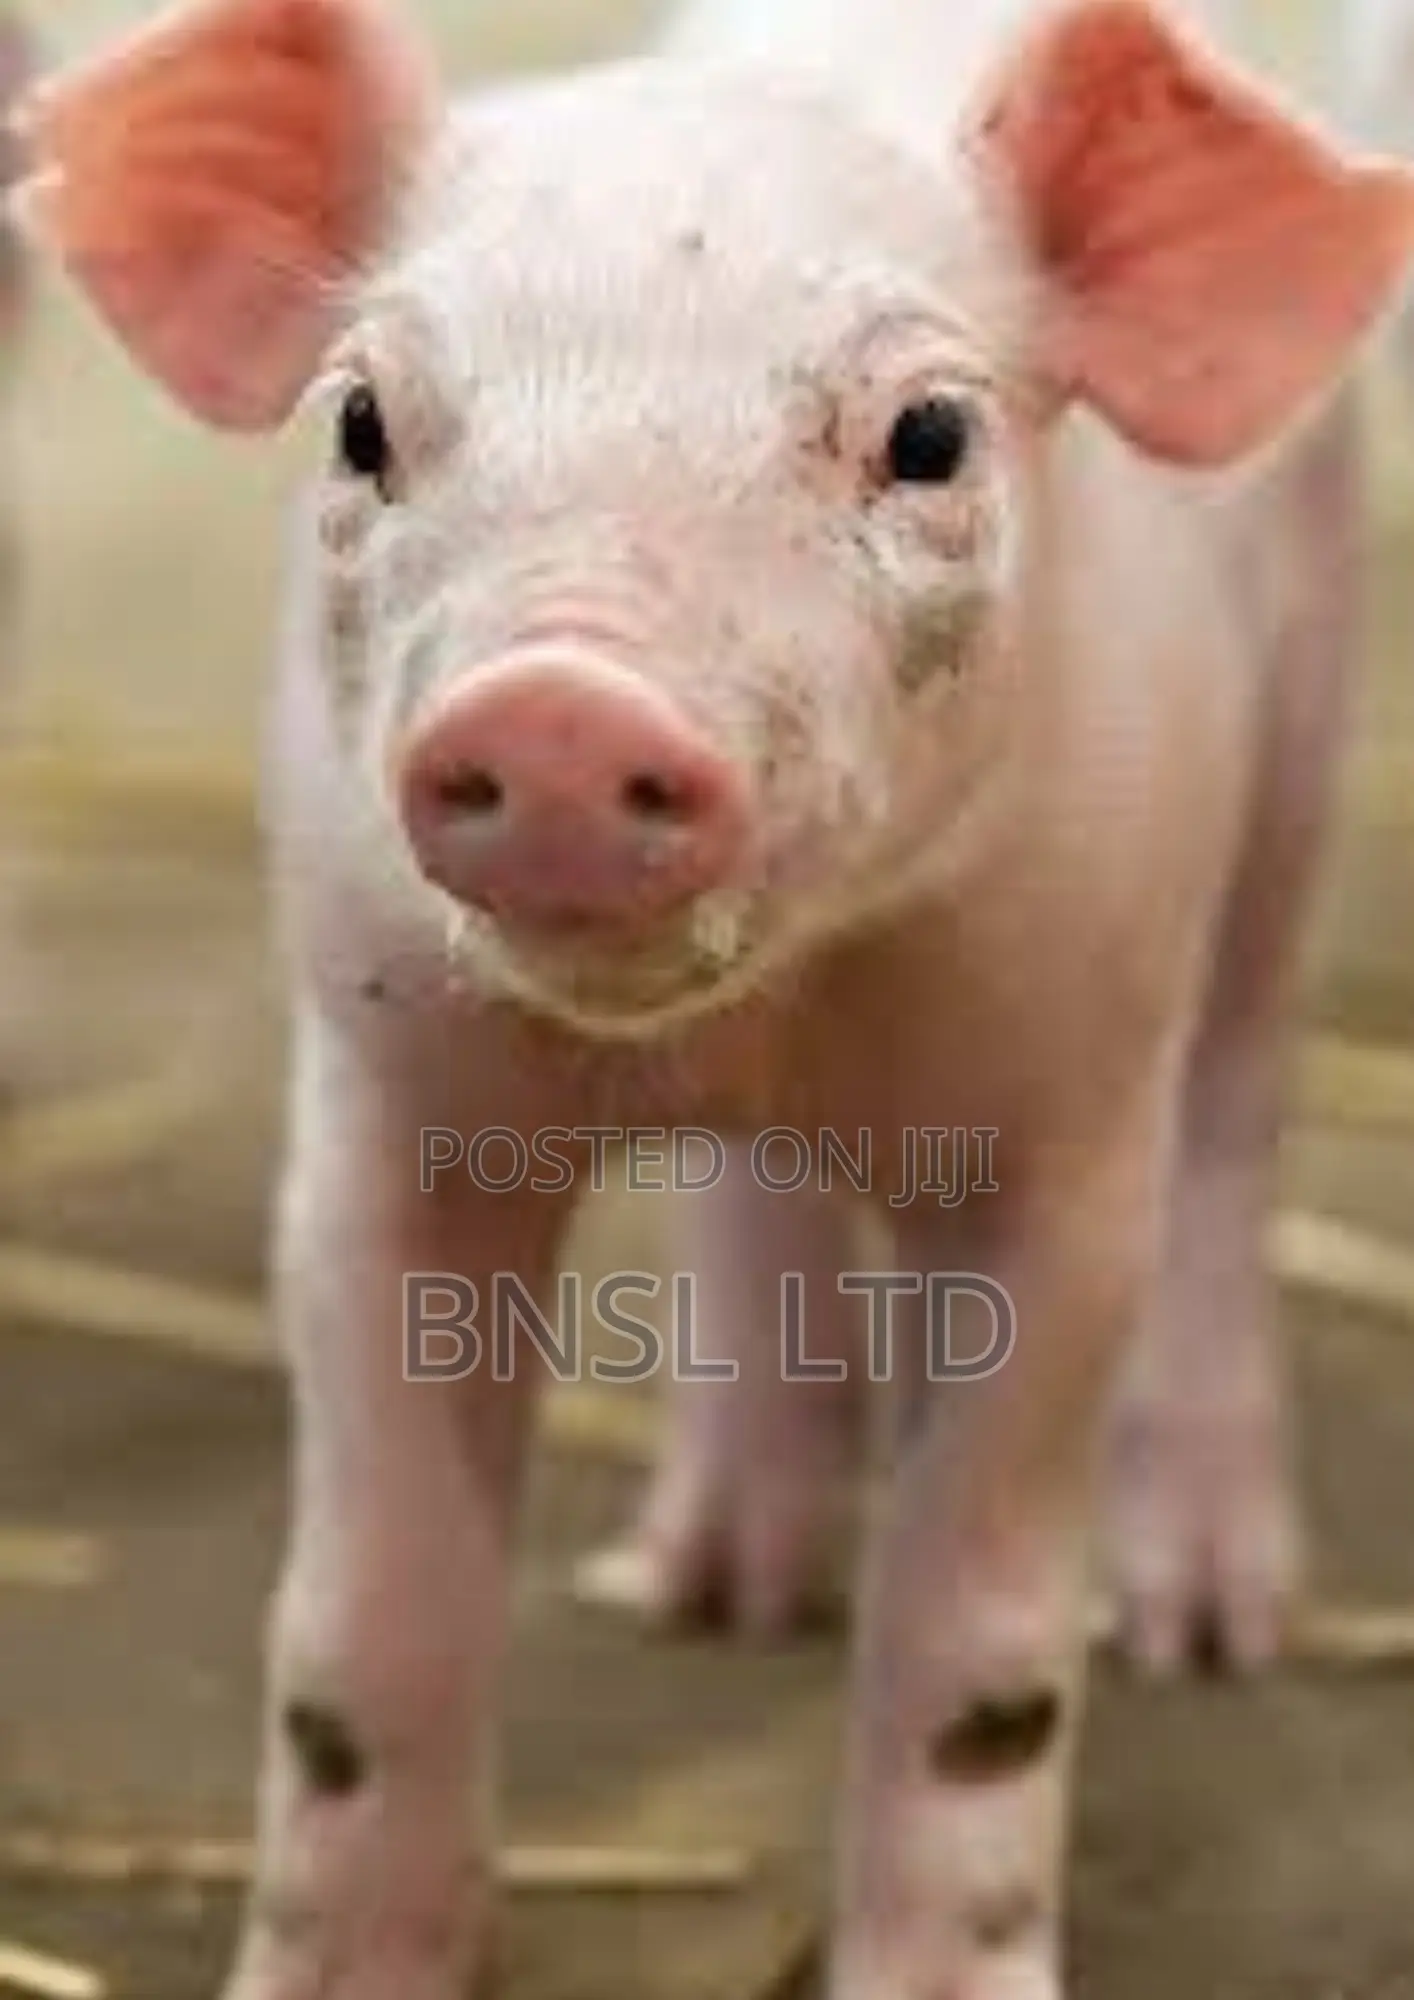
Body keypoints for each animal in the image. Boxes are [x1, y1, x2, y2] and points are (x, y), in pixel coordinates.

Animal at [15, 0, 1414, 1995]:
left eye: (927, 434)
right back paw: (714, 1587)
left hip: (1293, 736)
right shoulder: (380, 1105)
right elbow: (361, 1624)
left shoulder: (1062, 1127)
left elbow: (979, 1644)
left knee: (1232, 1110)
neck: (758, 1016)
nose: (558, 707)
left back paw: (1206, 1620)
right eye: (361, 421)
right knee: (755, 1201)